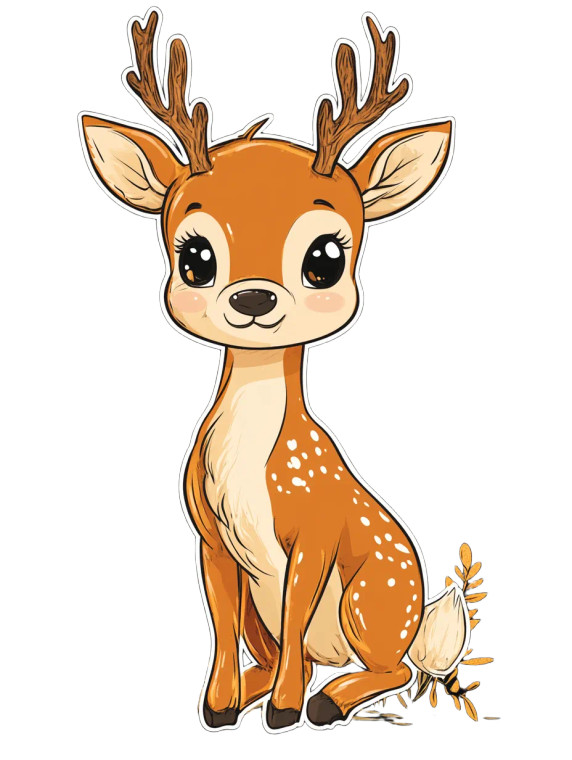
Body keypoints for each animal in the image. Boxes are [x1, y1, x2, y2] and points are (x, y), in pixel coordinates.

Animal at [81, 9, 466, 732]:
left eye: (325, 257)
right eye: (195, 257)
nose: (254, 299)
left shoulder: (317, 525)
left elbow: (293, 616)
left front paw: (284, 710)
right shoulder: (208, 535)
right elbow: (220, 620)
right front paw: (218, 705)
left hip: (374, 595)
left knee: (387, 668)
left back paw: (327, 700)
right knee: (300, 652)